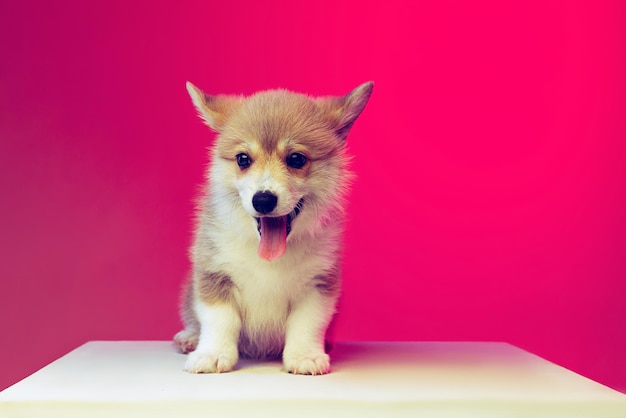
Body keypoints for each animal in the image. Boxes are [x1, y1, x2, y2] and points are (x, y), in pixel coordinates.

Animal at [173, 80, 372, 374]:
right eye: (243, 159)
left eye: (297, 159)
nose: (263, 200)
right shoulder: (214, 274)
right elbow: (219, 318)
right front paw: (212, 354)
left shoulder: (318, 284)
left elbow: (307, 323)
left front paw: (304, 356)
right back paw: (189, 337)